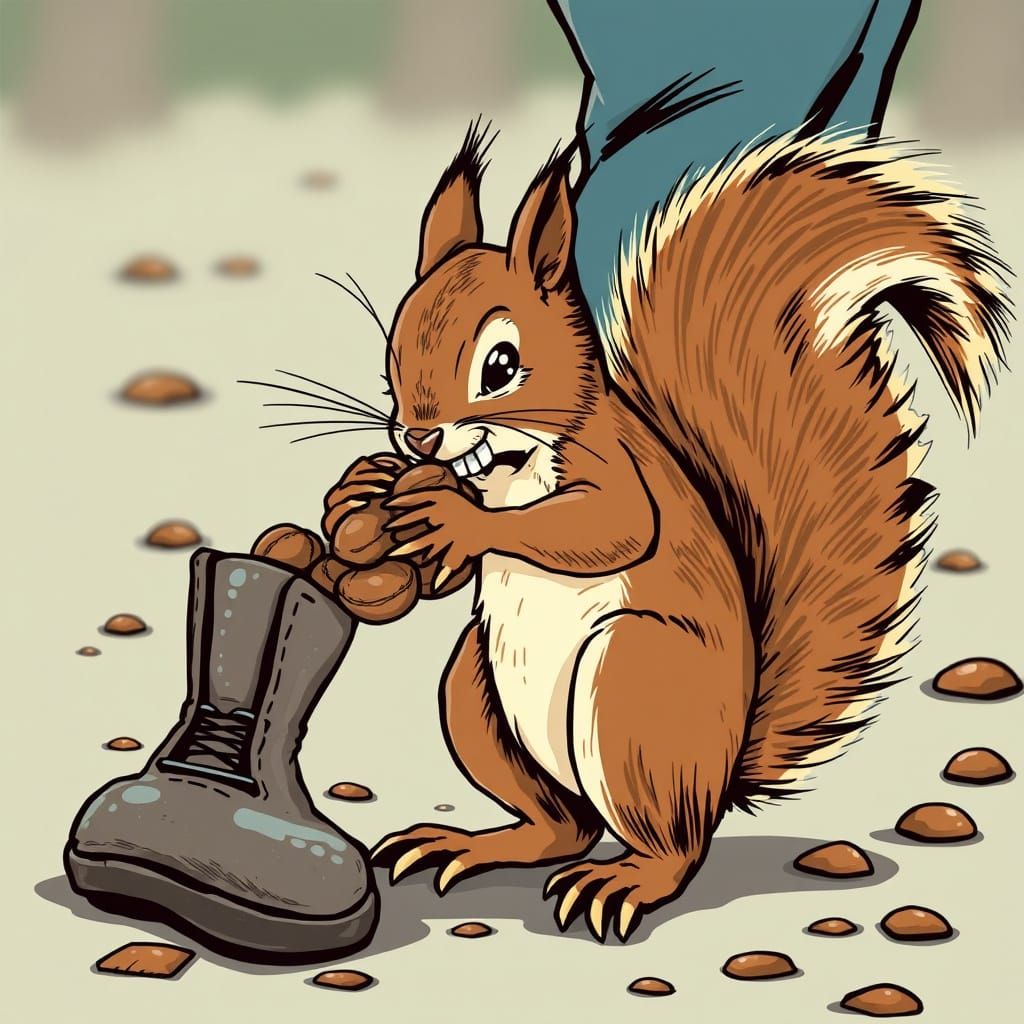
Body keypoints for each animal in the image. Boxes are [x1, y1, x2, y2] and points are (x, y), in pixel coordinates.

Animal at [368, 121, 1011, 942]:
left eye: (502, 364)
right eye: (393, 349)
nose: (417, 438)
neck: (509, 469)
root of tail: (722, 777)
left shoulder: (616, 469)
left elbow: (607, 529)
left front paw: (456, 517)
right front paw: (396, 495)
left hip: (633, 685)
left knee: (671, 848)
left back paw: (627, 880)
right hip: (474, 688)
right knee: (564, 827)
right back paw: (475, 844)